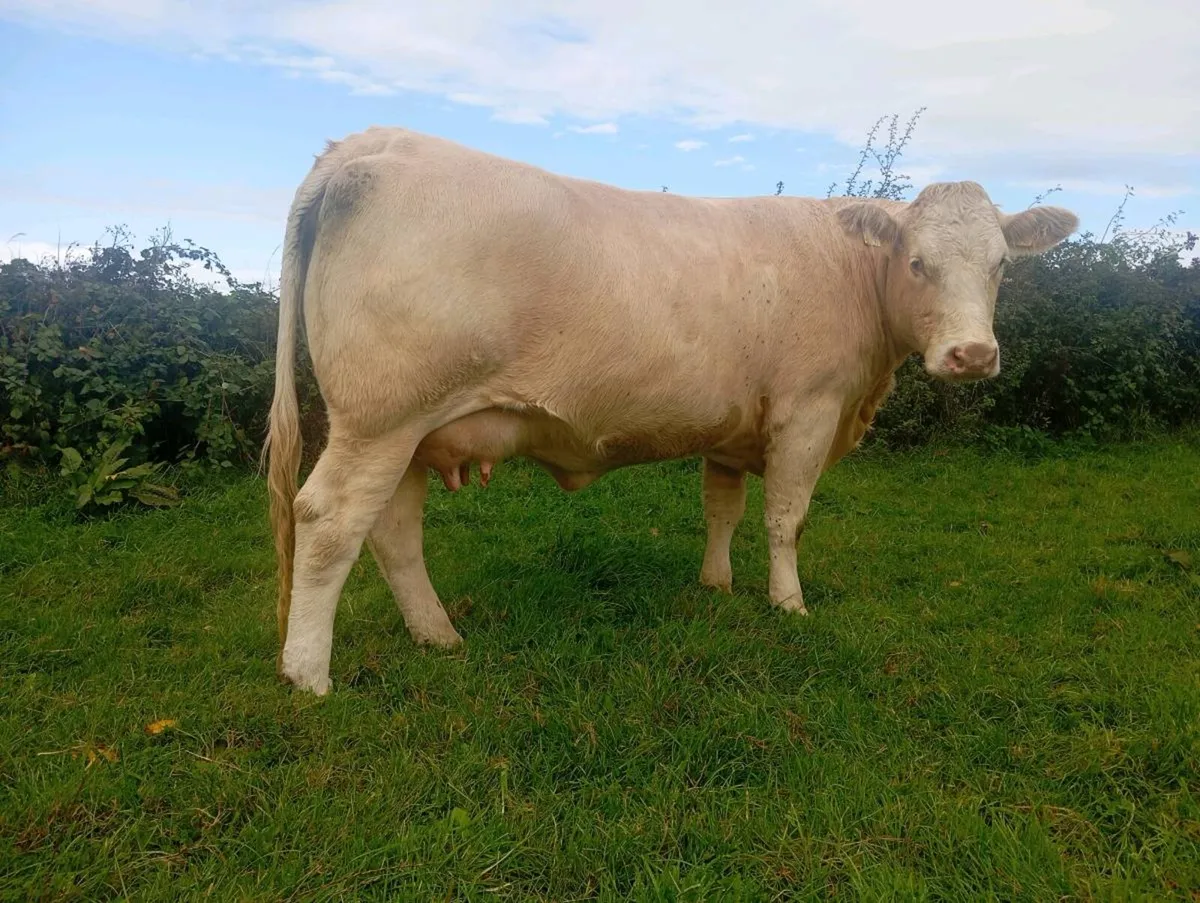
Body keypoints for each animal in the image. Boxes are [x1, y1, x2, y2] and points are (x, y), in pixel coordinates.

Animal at [264, 126, 1078, 695]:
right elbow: (786, 517)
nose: (971, 355)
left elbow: (723, 507)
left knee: (392, 531)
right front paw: (788, 603)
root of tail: (379, 139)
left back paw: (438, 637)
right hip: (380, 418)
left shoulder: (733, 423)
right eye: (917, 263)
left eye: (1001, 265)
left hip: (408, 431)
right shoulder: (808, 410)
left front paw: (716, 585)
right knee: (331, 521)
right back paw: (308, 675)